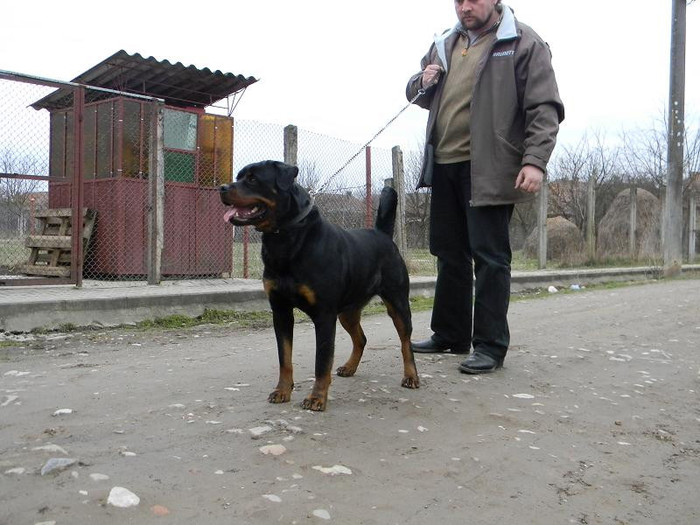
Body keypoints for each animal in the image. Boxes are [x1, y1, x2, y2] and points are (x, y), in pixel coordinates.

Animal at [219, 160, 418, 410]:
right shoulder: (281, 311)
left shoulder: (324, 315)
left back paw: (411, 376)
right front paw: (282, 391)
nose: (222, 188)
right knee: (361, 338)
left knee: (406, 342)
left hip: (398, 302)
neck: (285, 238)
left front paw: (317, 398)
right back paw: (349, 367)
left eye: (253, 179)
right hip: (347, 311)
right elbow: (284, 358)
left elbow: (322, 361)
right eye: (238, 177)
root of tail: (382, 234)